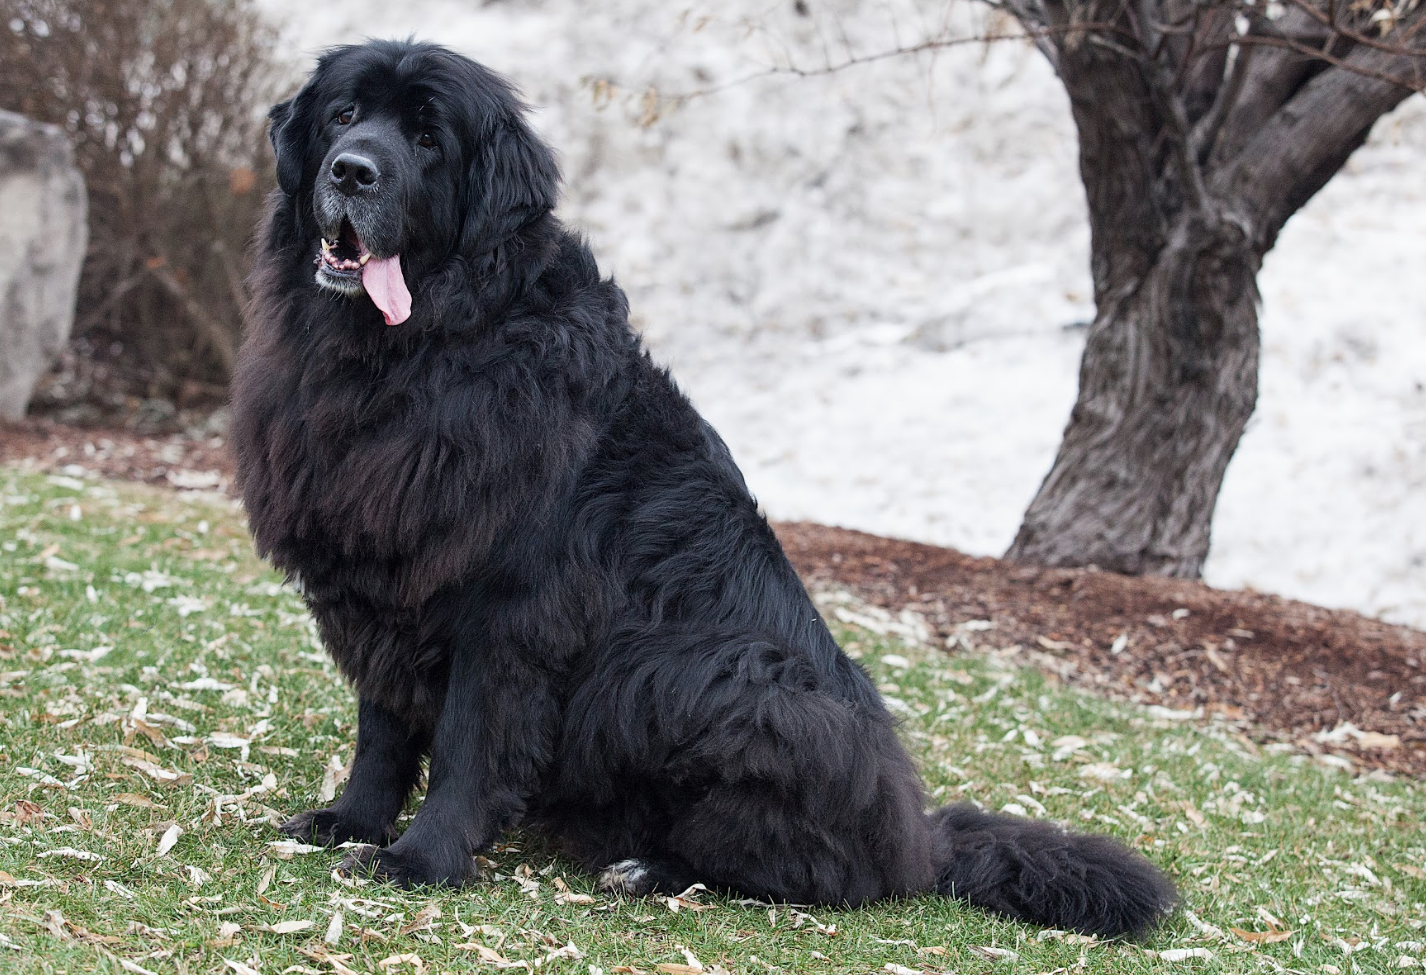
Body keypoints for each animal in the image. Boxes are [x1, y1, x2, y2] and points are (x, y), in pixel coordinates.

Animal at [228, 39, 1175, 935]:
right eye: (345, 114)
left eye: (429, 139)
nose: (352, 171)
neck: (415, 350)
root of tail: (918, 838)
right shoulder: (388, 575)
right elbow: (382, 728)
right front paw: (351, 821)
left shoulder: (510, 607)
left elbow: (468, 740)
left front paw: (420, 859)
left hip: (736, 677)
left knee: (812, 867)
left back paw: (652, 869)